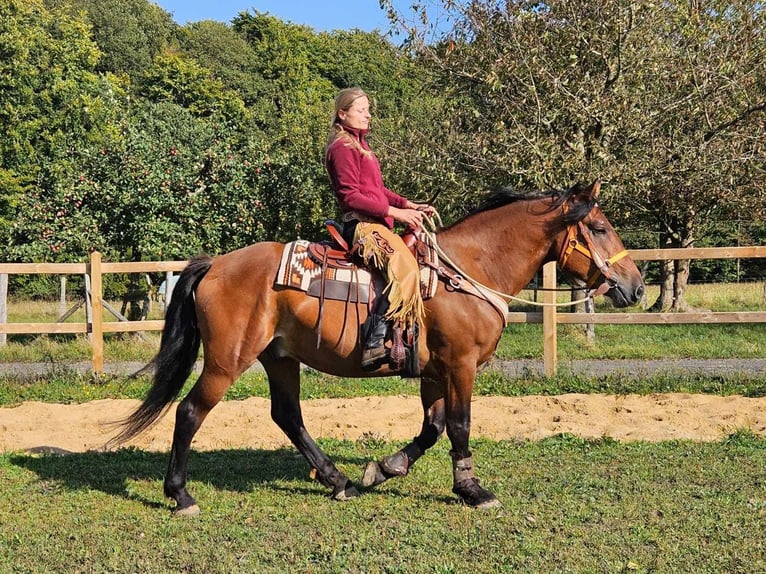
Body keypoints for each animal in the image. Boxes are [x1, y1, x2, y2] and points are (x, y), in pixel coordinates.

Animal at [112, 178, 640, 516]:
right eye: (598, 229)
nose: (634, 286)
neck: (469, 269)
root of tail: (217, 264)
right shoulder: (461, 365)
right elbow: (460, 426)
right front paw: (472, 490)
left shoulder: (434, 372)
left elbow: (432, 428)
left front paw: (383, 469)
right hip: (227, 360)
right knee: (190, 412)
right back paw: (180, 495)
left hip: (279, 358)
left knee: (287, 416)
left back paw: (336, 480)